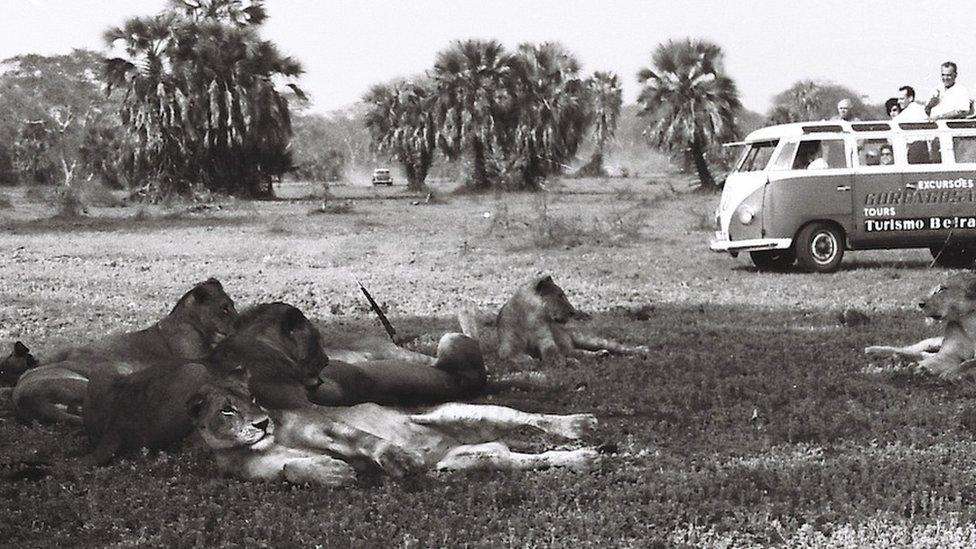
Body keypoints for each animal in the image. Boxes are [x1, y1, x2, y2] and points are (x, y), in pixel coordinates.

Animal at [12, 278, 236, 424]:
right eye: (224, 308)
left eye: (232, 305)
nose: (239, 321)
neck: (192, 321)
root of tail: (22, 399)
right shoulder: (196, 357)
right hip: (85, 383)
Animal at [190, 374, 600, 486]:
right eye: (227, 409)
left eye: (253, 397)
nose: (262, 423)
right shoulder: (262, 471)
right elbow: (292, 468)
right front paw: (333, 473)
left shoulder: (324, 424)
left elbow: (364, 440)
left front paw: (399, 459)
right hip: (471, 461)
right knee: (529, 461)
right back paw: (583, 460)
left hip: (461, 414)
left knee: (527, 417)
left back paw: (580, 425)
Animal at [496, 274, 648, 364]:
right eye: (560, 295)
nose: (573, 312)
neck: (530, 317)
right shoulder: (506, 347)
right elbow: (511, 355)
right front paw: (526, 359)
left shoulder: (545, 339)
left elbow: (553, 354)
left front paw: (566, 362)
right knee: (579, 352)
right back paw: (601, 354)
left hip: (588, 339)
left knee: (615, 346)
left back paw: (641, 350)